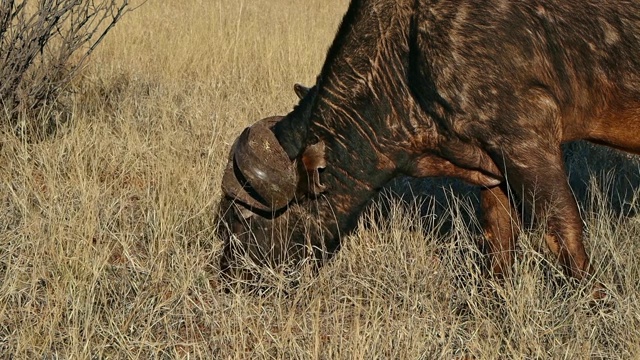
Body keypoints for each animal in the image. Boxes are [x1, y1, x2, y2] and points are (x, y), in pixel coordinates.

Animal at [214, 0, 640, 296]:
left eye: (242, 219)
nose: (228, 278)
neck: (407, 44)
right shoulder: (493, 167)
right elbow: (498, 240)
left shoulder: (527, 139)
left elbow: (564, 232)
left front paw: (594, 304)